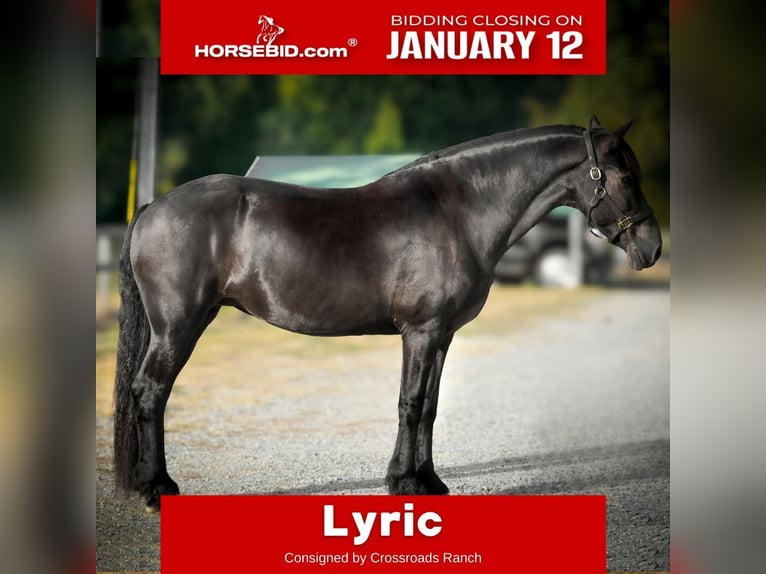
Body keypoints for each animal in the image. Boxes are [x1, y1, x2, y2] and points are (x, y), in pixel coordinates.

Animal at [113, 117, 662, 512]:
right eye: (625, 176)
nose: (652, 248)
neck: (458, 212)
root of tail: (154, 207)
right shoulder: (420, 332)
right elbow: (411, 403)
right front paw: (404, 483)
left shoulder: (441, 336)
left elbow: (431, 406)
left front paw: (429, 480)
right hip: (178, 326)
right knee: (151, 391)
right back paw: (157, 488)